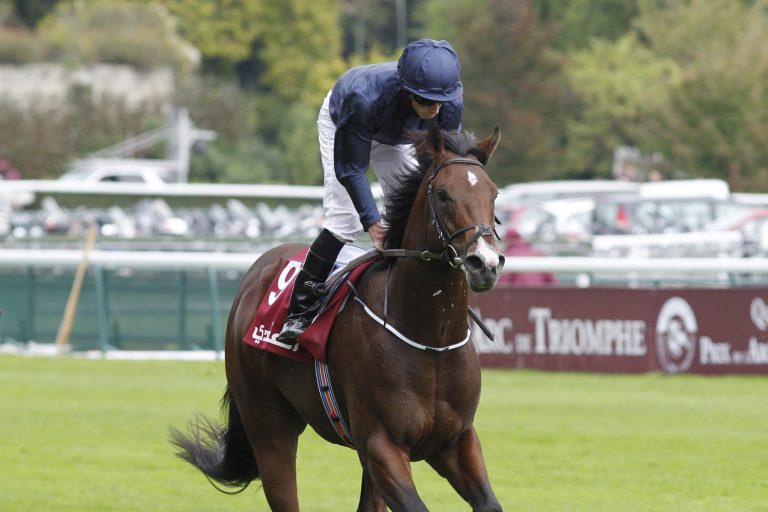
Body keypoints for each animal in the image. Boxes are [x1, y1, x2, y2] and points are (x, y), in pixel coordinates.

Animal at [171, 125, 505, 511]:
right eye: (443, 194)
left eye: (494, 194)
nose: (485, 263)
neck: (429, 338)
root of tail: (257, 270)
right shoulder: (381, 443)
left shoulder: (455, 440)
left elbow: (489, 502)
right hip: (267, 425)